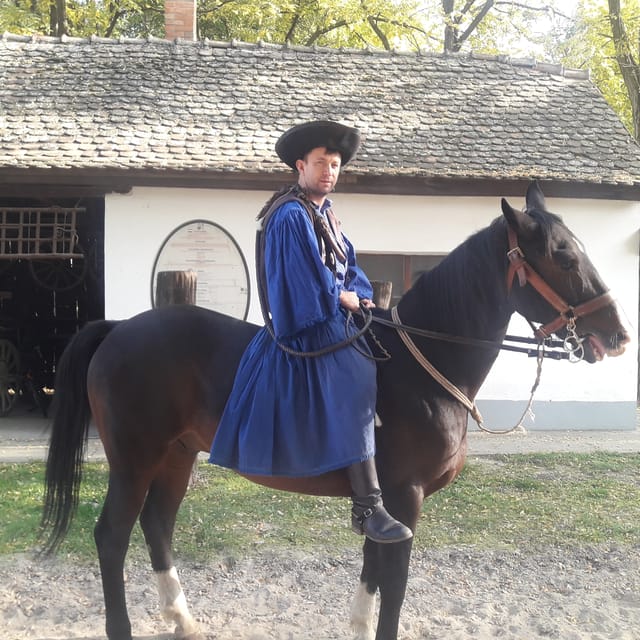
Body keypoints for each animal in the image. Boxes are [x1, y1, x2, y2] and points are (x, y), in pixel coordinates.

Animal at [40, 182, 629, 640]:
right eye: (564, 257)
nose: (618, 334)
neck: (426, 363)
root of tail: (119, 328)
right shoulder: (406, 498)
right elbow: (394, 587)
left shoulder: (386, 507)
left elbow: (371, 572)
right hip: (135, 461)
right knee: (112, 537)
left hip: (177, 457)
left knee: (157, 525)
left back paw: (183, 620)